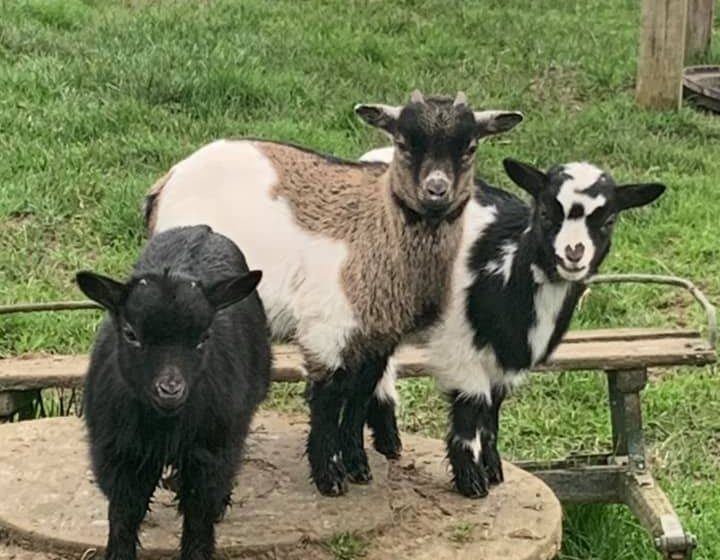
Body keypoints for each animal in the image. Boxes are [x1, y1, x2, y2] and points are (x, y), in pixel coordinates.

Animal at [360, 147, 664, 496]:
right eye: (544, 212)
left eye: (609, 221)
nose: (574, 254)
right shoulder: (459, 347)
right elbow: (471, 407)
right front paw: (471, 482)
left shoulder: (505, 360)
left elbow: (492, 413)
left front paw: (493, 470)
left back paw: (389, 443)